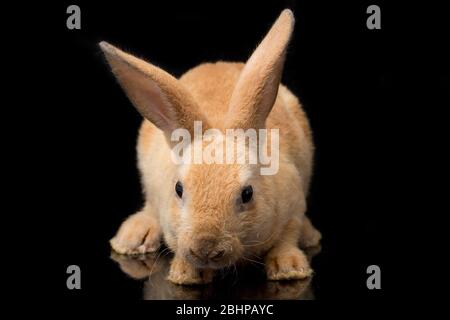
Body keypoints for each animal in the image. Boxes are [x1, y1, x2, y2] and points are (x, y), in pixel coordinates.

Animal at [100, 9, 322, 284]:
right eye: (178, 189)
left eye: (247, 193)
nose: (205, 248)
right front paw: (186, 274)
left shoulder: (293, 205)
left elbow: (287, 237)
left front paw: (288, 268)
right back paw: (131, 239)